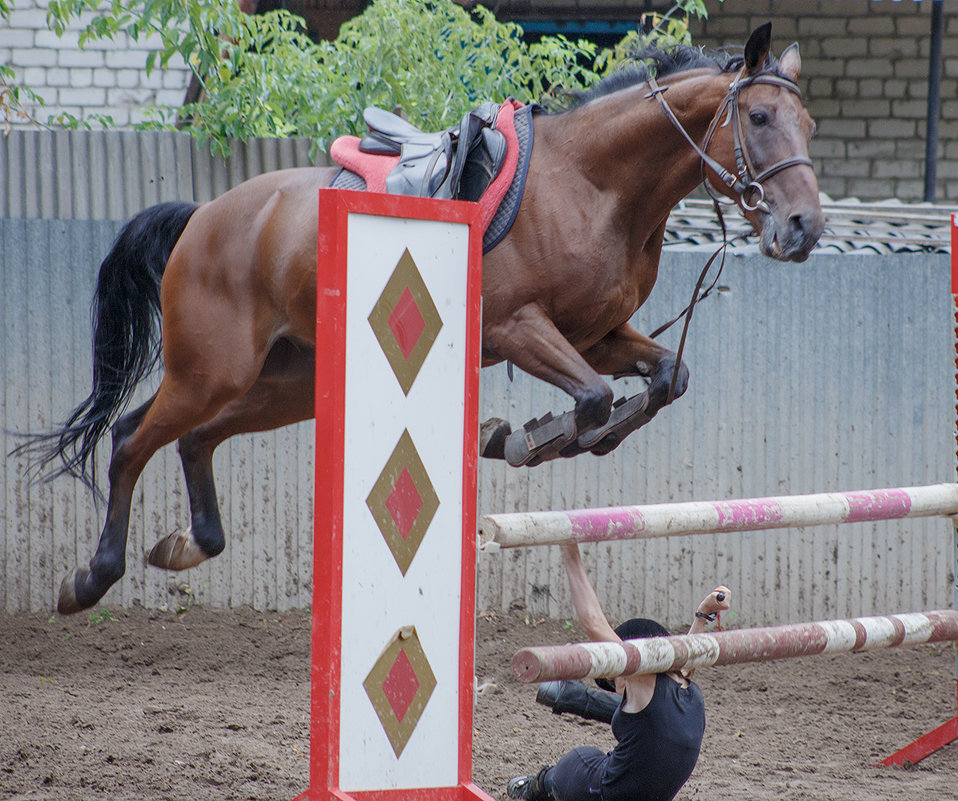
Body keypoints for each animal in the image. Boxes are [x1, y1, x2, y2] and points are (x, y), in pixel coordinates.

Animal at [26, 25, 828, 612]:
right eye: (759, 117)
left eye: (809, 124)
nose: (804, 228)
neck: (594, 185)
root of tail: (202, 217)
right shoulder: (516, 329)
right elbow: (596, 399)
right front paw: (522, 438)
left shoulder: (595, 336)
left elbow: (666, 377)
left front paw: (564, 437)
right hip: (210, 369)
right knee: (131, 438)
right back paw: (90, 578)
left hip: (285, 382)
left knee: (197, 439)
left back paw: (188, 545)